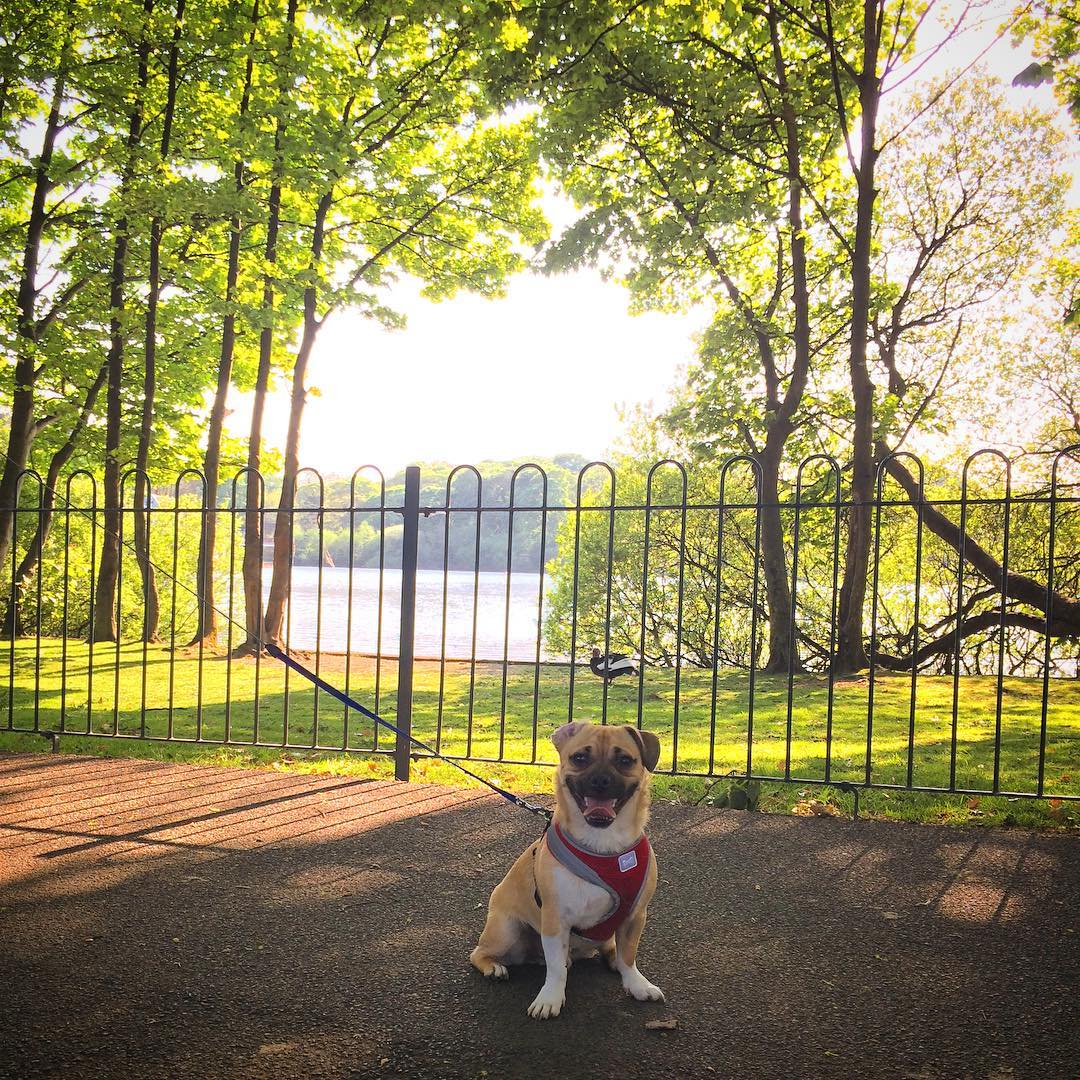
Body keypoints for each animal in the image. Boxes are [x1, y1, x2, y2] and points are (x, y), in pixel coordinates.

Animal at [468, 725, 660, 1019]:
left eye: (624, 760)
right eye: (579, 758)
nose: (601, 780)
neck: (603, 845)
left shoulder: (634, 916)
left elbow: (629, 956)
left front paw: (637, 985)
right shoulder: (555, 919)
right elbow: (556, 969)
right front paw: (550, 999)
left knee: (611, 950)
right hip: (506, 930)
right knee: (479, 953)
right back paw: (494, 967)